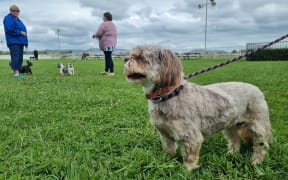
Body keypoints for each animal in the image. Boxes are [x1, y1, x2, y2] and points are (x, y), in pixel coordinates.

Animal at [124, 44, 272, 170]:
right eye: (131, 55)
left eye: (141, 57)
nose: (125, 58)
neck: (168, 96)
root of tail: (257, 89)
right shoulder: (165, 133)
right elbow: (169, 149)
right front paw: (166, 162)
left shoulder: (191, 136)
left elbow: (189, 157)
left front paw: (187, 171)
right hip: (230, 125)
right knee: (235, 140)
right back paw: (231, 154)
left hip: (258, 125)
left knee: (261, 144)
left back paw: (256, 161)